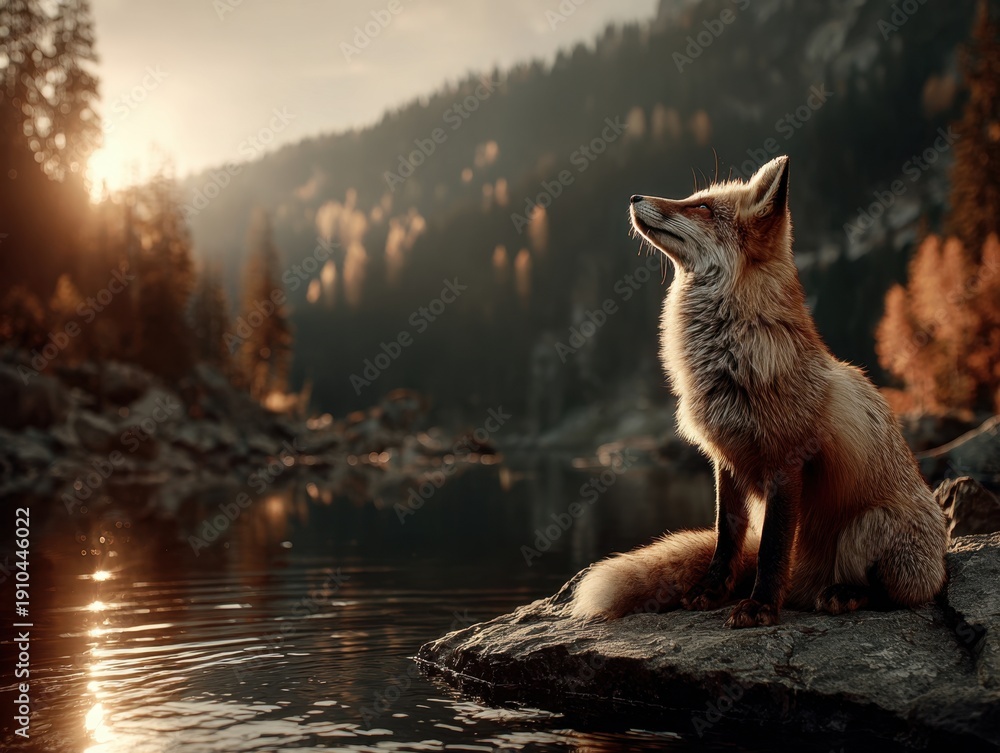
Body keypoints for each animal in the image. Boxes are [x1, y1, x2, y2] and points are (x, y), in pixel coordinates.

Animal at [570, 156, 948, 628]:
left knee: (901, 592)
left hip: (870, 524)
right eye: (694, 199)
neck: (728, 363)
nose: (635, 196)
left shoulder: (787, 462)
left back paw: (845, 593)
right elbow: (726, 539)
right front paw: (711, 593)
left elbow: (771, 548)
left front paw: (762, 605)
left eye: (703, 208)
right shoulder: (725, 460)